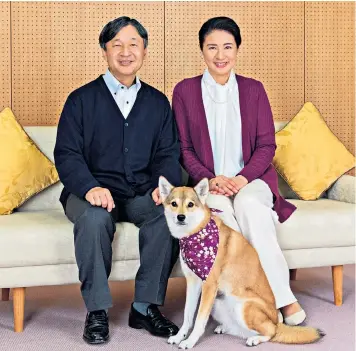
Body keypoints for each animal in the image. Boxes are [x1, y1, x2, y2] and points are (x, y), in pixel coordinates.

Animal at [160, 177, 324, 350]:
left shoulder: (209, 286)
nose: (181, 217)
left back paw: (255, 339)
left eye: (190, 204)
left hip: (244, 306)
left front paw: (189, 341)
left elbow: (199, 320)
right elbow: (188, 316)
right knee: (239, 328)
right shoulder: (193, 283)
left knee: (271, 331)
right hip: (218, 303)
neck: (196, 235)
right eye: (174, 204)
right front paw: (179, 336)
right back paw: (225, 327)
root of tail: (276, 320)